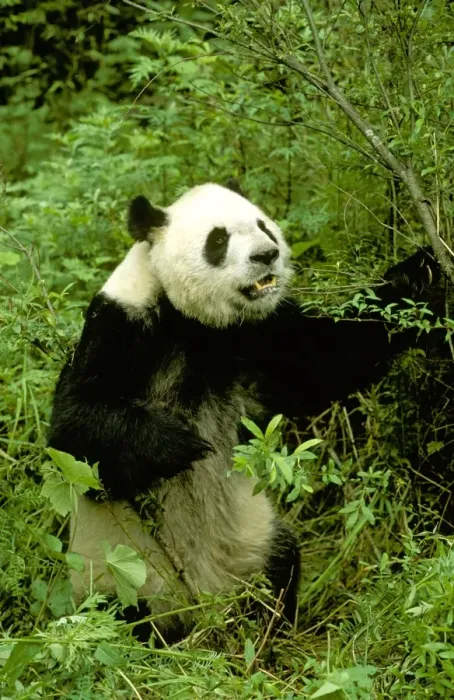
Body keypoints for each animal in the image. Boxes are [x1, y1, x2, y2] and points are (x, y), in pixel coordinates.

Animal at [48, 182, 440, 642]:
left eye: (263, 226)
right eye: (217, 240)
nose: (266, 255)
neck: (196, 324)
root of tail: (205, 605)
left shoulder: (260, 333)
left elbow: (325, 363)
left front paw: (420, 276)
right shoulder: (122, 326)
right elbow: (76, 433)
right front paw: (182, 444)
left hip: (252, 539)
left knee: (282, 564)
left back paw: (269, 631)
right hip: (123, 571)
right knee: (119, 619)